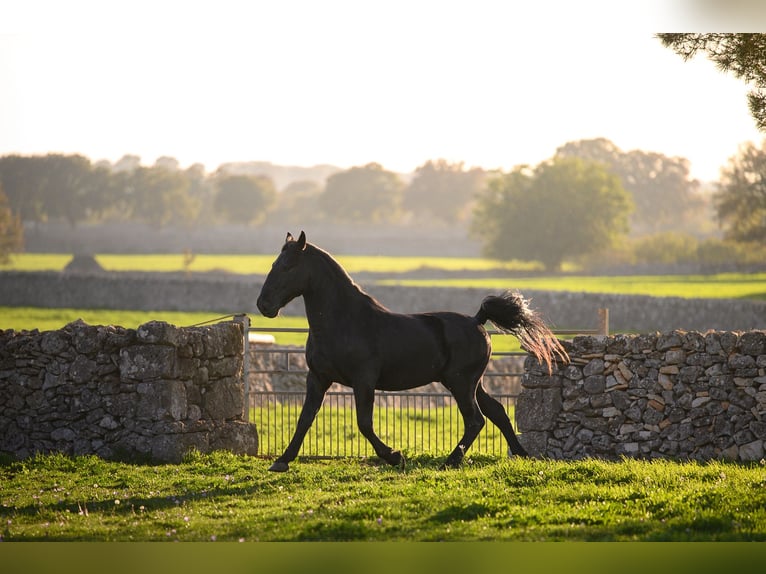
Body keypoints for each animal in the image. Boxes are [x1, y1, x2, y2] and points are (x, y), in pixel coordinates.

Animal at [256, 231, 568, 472]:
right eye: (274, 263)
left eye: (288, 267)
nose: (263, 305)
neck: (345, 321)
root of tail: (477, 320)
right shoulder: (318, 378)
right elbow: (305, 419)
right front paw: (281, 461)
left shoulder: (363, 380)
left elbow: (364, 423)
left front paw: (395, 456)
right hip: (470, 383)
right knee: (496, 412)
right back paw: (522, 455)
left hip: (461, 383)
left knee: (475, 419)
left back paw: (450, 462)